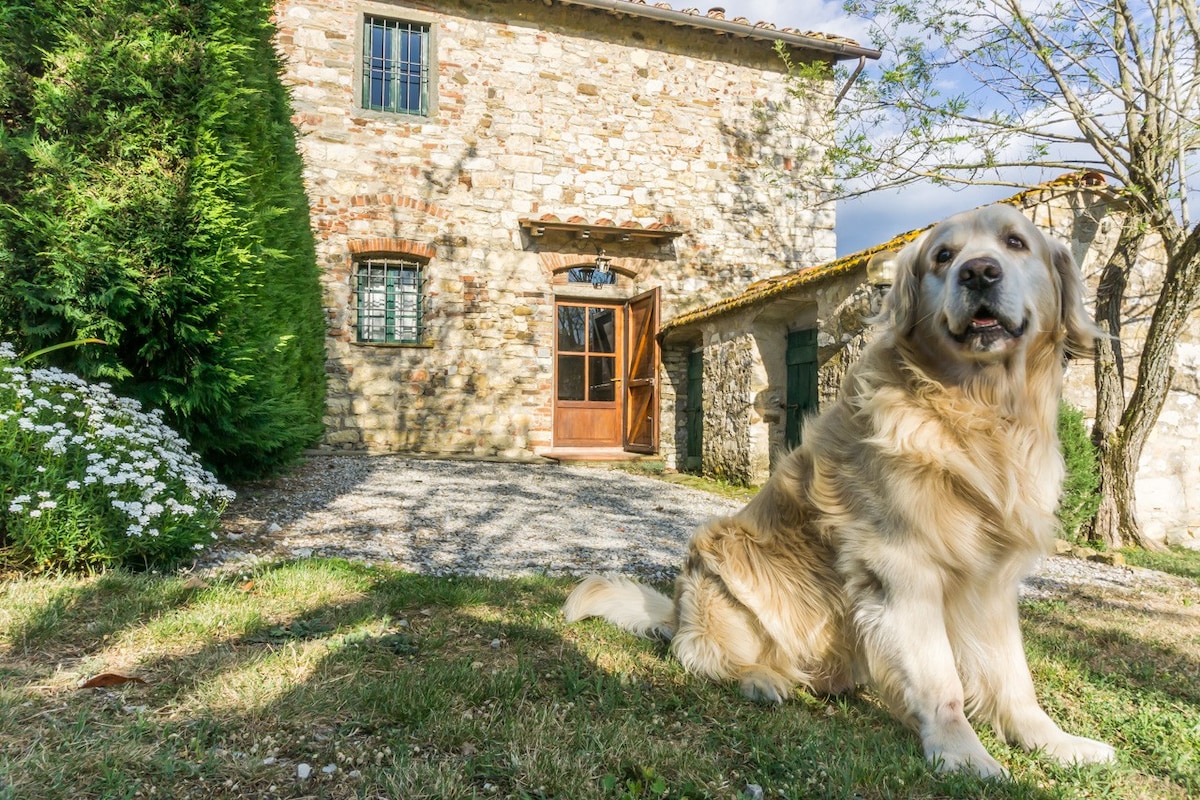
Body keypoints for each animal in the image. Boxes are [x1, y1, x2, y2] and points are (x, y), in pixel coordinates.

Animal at [561, 203, 1113, 777]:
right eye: (943, 255)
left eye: (1016, 242)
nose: (979, 273)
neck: (974, 410)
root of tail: (678, 612)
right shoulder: (903, 569)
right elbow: (942, 682)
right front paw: (962, 755)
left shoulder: (992, 581)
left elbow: (1014, 678)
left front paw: (1053, 741)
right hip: (726, 571)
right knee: (701, 655)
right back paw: (763, 679)